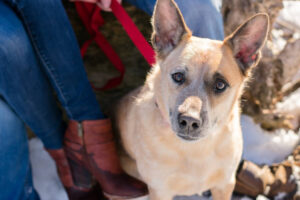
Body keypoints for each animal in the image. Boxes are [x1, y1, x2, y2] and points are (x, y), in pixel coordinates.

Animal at [115, 0, 270, 199]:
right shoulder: (160, 190)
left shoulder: (225, 184)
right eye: (178, 76)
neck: (196, 151)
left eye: (220, 84)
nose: (189, 121)